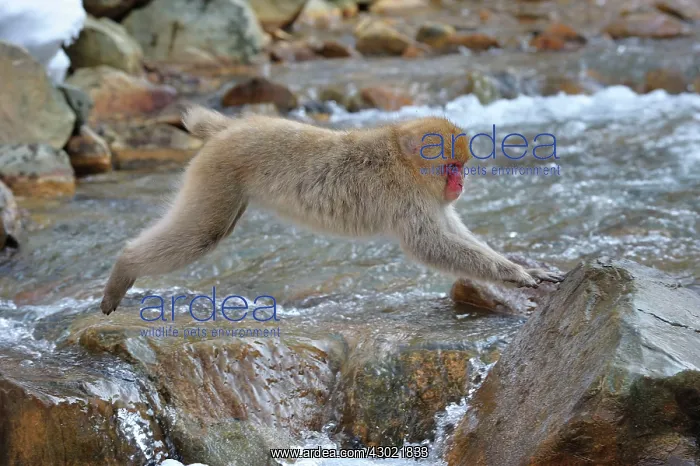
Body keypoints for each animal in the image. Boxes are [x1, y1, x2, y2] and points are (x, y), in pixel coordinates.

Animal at [100, 106, 563, 315]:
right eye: (453, 167)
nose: (461, 184)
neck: (403, 159)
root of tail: (232, 127)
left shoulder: (429, 197)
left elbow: (453, 231)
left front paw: (526, 269)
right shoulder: (407, 195)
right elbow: (429, 244)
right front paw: (515, 274)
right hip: (216, 173)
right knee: (203, 233)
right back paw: (124, 266)